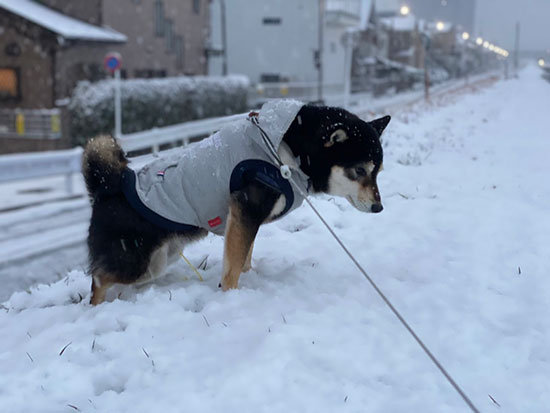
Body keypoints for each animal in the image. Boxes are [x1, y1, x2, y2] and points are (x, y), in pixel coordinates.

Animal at [83, 102, 392, 304]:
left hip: (158, 259)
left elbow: (243, 257)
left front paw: (248, 276)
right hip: (136, 261)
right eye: (359, 171)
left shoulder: (243, 218)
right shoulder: (247, 210)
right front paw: (230, 298)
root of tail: (107, 187)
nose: (378, 208)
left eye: (378, 171)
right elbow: (233, 267)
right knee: (98, 278)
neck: (284, 150)